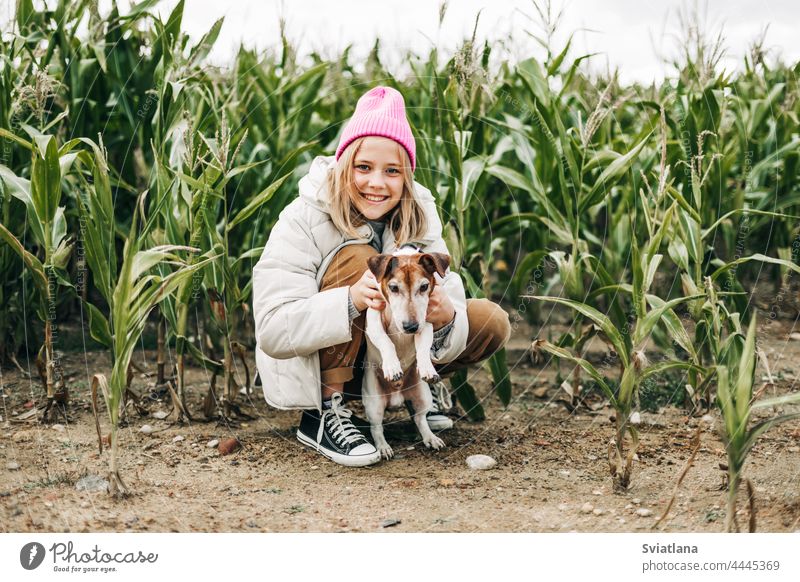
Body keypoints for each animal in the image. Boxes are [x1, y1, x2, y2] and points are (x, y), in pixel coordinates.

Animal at [362, 246, 450, 460]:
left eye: (424, 286)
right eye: (393, 288)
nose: (410, 327)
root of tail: (396, 399)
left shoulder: (426, 321)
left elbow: (423, 346)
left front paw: (427, 368)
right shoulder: (374, 319)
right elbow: (386, 342)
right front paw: (392, 367)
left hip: (422, 396)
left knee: (420, 419)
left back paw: (430, 438)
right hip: (374, 403)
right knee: (376, 428)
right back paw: (383, 447)